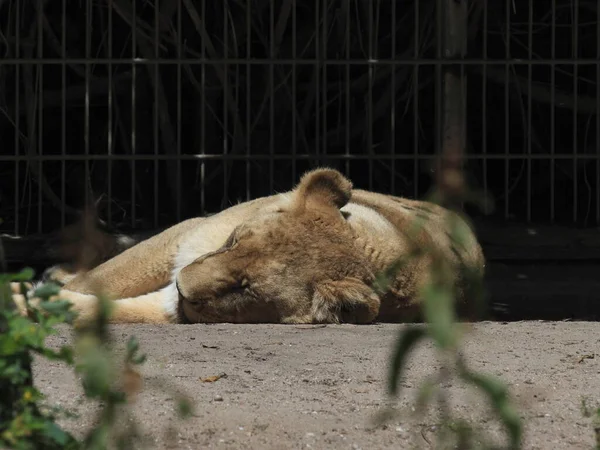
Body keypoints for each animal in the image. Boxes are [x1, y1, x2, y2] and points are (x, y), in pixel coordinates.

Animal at [9, 169, 486, 326]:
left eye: (246, 288)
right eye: (235, 240)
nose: (181, 286)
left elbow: (105, 305)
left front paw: (22, 300)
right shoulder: (186, 234)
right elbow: (105, 279)